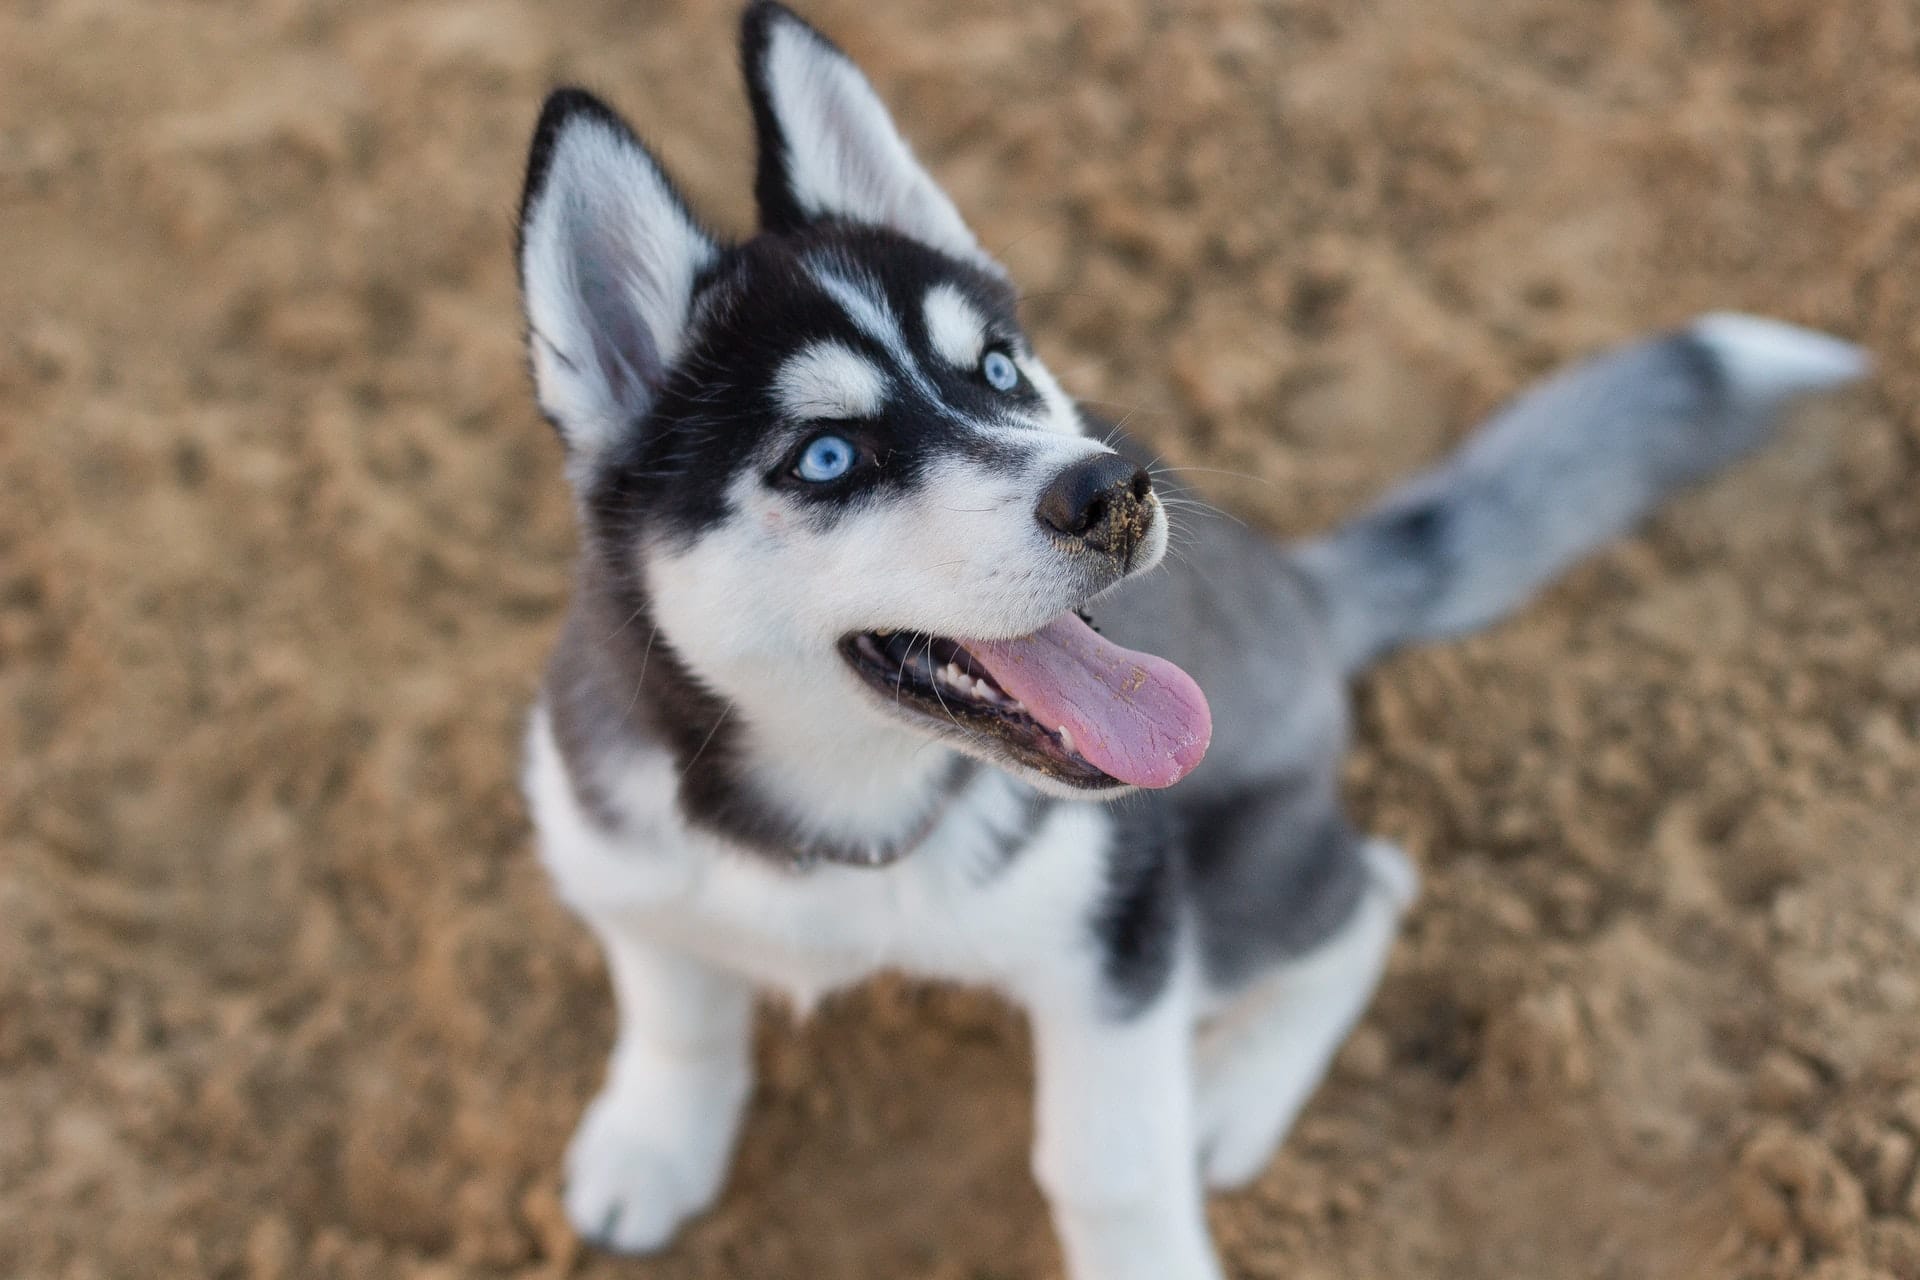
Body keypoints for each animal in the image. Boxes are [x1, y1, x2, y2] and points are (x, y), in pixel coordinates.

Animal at [518, 5, 1866, 1274]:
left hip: (1221, 892)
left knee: (1375, 886)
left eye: (997, 368)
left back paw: (1229, 1087)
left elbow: (1108, 1161)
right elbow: (676, 1003)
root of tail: (1301, 589)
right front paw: (654, 1139)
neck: (840, 812)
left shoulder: (1119, 936)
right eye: (829, 456)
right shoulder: (617, 858)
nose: (1115, 488)